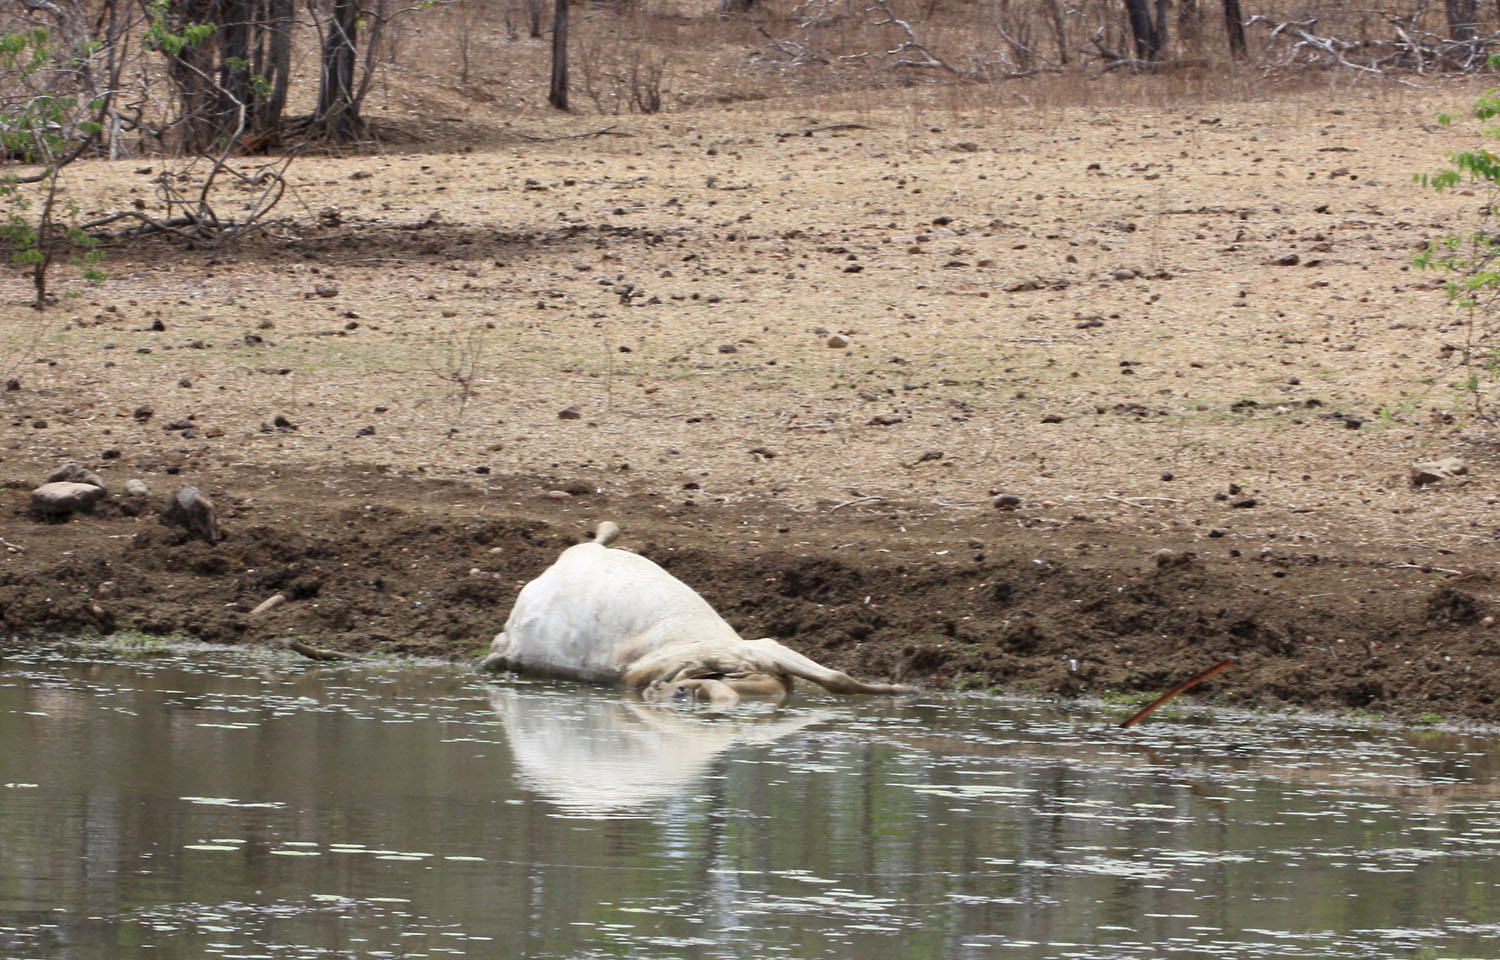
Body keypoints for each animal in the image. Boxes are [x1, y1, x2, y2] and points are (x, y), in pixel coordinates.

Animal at [478, 521, 914, 705]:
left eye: (688, 691)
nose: (669, 692)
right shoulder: (763, 647)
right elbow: (839, 679)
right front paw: (899, 689)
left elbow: (838, 679)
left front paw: (900, 690)